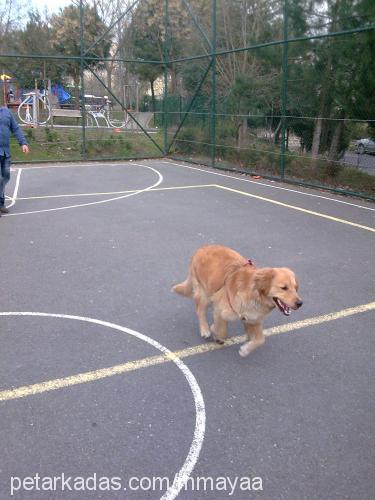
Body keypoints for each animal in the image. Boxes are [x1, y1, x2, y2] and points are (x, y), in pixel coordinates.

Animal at [173, 245, 302, 356]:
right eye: (284, 288)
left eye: (295, 288)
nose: (300, 303)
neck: (255, 294)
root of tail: (201, 248)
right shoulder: (219, 309)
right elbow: (222, 331)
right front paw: (215, 331)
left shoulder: (253, 319)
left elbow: (261, 339)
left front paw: (246, 349)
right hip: (204, 294)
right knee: (199, 310)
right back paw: (205, 329)